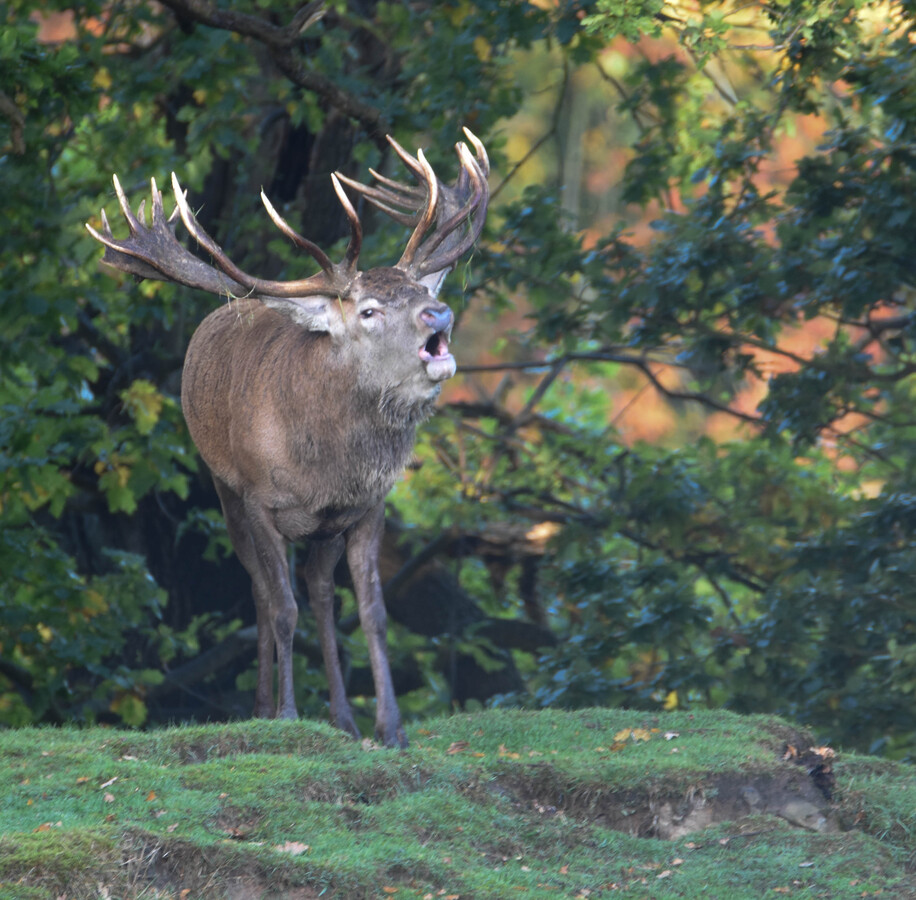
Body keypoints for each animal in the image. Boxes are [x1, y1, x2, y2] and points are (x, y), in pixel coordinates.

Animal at [86, 130, 489, 748]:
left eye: (418, 289)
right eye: (369, 310)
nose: (438, 312)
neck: (323, 464)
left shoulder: (367, 506)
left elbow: (372, 612)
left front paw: (391, 728)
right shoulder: (259, 499)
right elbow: (281, 610)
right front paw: (287, 715)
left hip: (323, 530)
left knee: (320, 591)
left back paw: (343, 718)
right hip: (223, 488)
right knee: (261, 590)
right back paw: (262, 705)